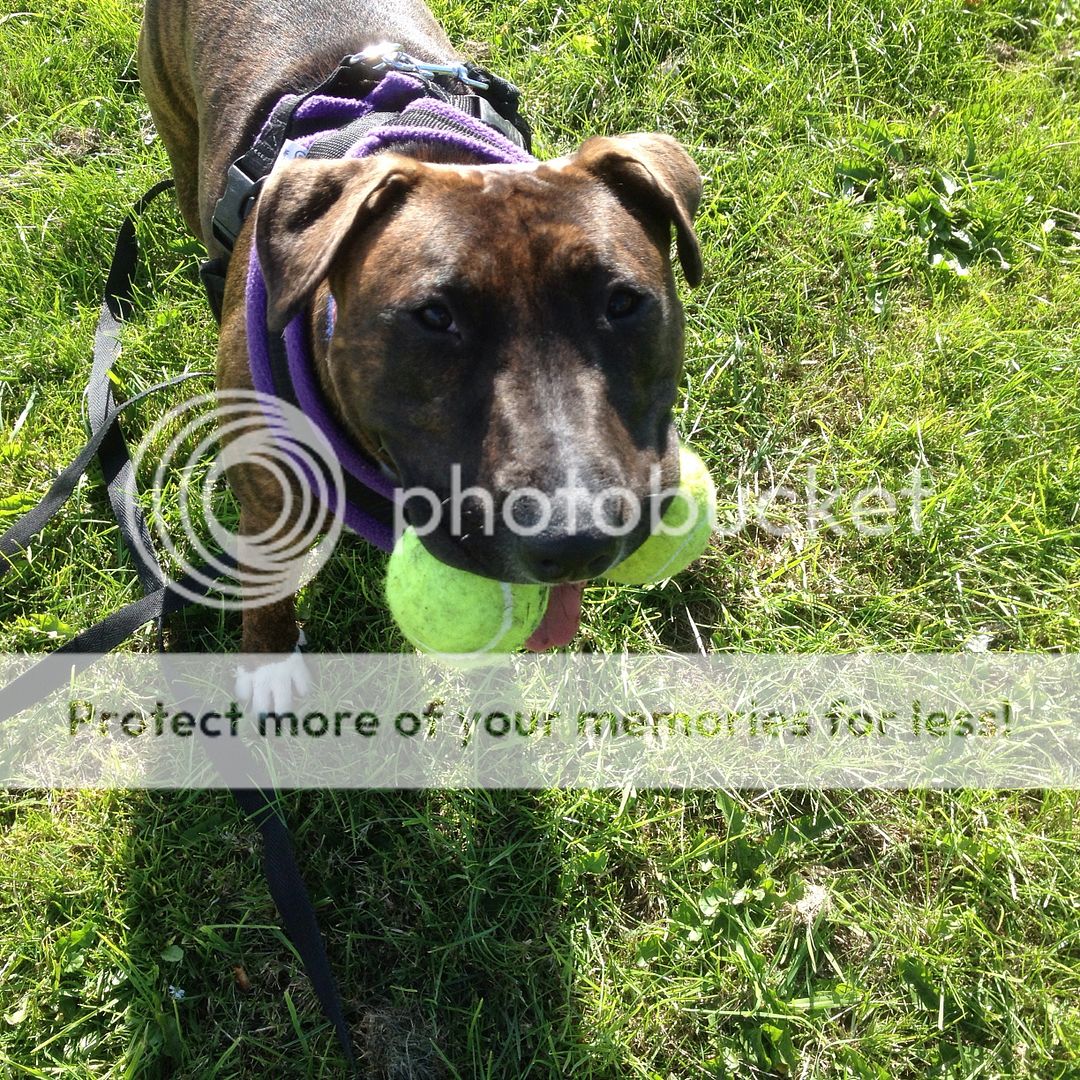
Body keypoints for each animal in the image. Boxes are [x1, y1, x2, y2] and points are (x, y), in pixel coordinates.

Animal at [139, 0, 703, 699]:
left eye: (623, 304)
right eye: (434, 317)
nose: (576, 541)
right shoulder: (268, 490)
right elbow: (266, 580)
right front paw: (266, 664)